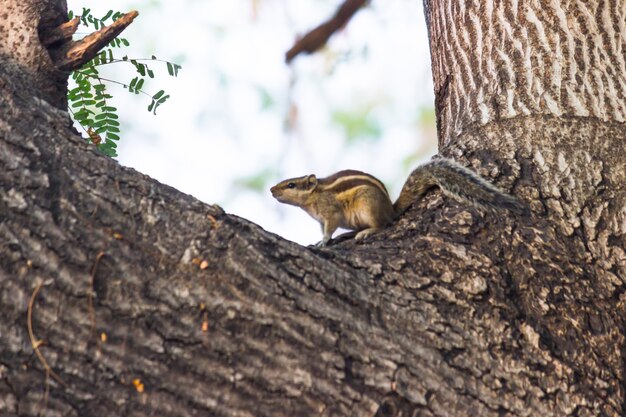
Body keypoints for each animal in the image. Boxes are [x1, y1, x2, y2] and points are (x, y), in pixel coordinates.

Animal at [270, 158, 524, 244]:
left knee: (383, 225)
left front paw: (323, 242)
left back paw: (368, 231)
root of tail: (390, 210)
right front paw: (321, 240)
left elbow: (329, 227)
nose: (271, 190)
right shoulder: (320, 219)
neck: (314, 196)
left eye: (291, 185)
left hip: (368, 206)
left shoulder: (329, 212)